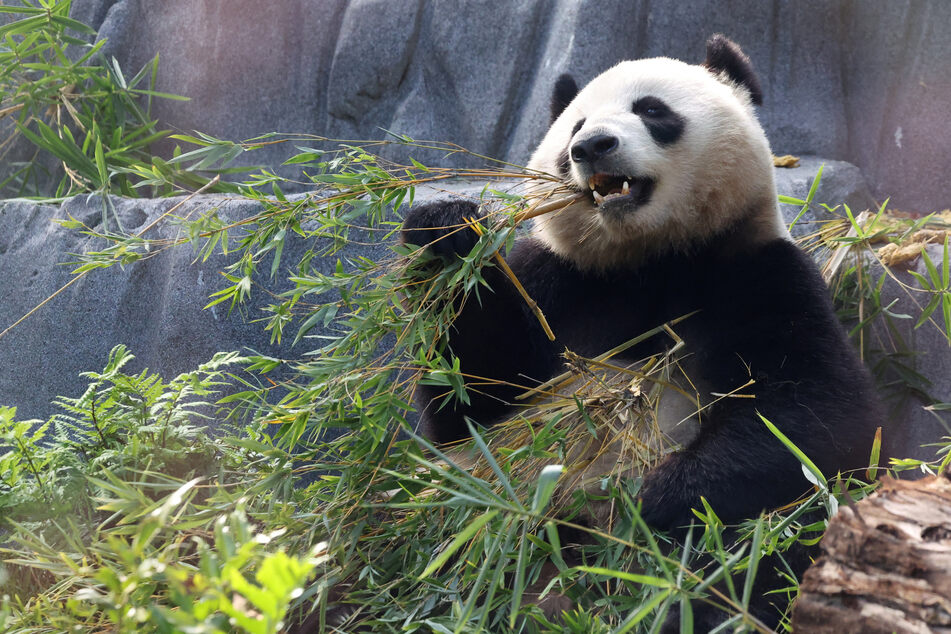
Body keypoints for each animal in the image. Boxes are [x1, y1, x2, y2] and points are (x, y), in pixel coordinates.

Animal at [398, 34, 880, 624]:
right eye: (576, 128)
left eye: (652, 110)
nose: (593, 146)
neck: (649, 258)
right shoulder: (556, 284)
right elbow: (472, 408)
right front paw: (446, 233)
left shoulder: (760, 273)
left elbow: (818, 415)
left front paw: (648, 500)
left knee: (772, 547)